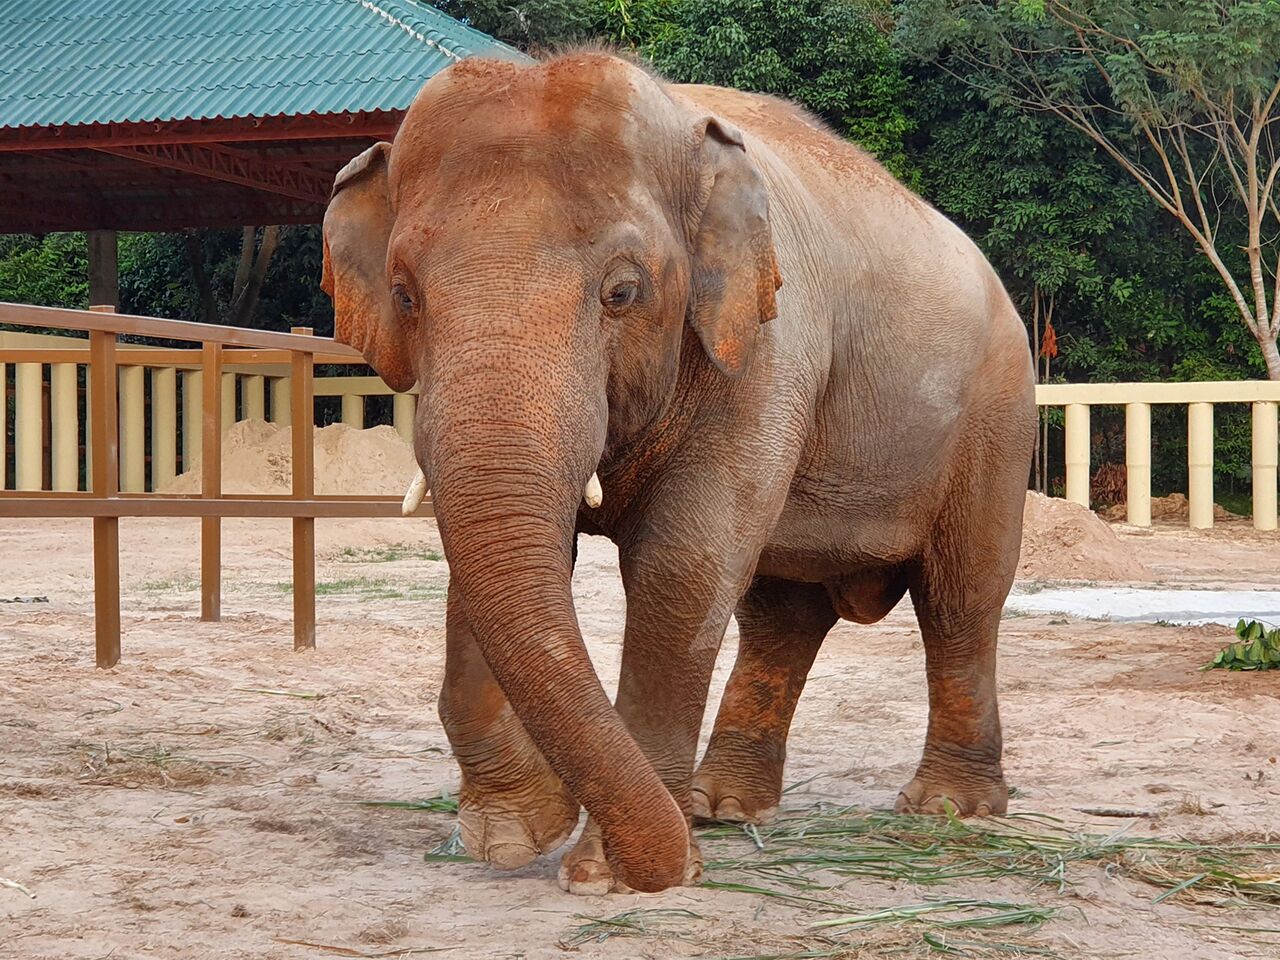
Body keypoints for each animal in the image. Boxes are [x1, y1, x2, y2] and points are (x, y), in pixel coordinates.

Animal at [322, 50, 1039, 896]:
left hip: (995, 415)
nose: (560, 826)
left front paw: (610, 876)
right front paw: (513, 833)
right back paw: (719, 807)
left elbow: (684, 563)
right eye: (405, 294)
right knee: (782, 613)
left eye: (622, 291)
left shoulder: (768, 346)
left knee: (961, 597)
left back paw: (948, 810)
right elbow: (496, 557)